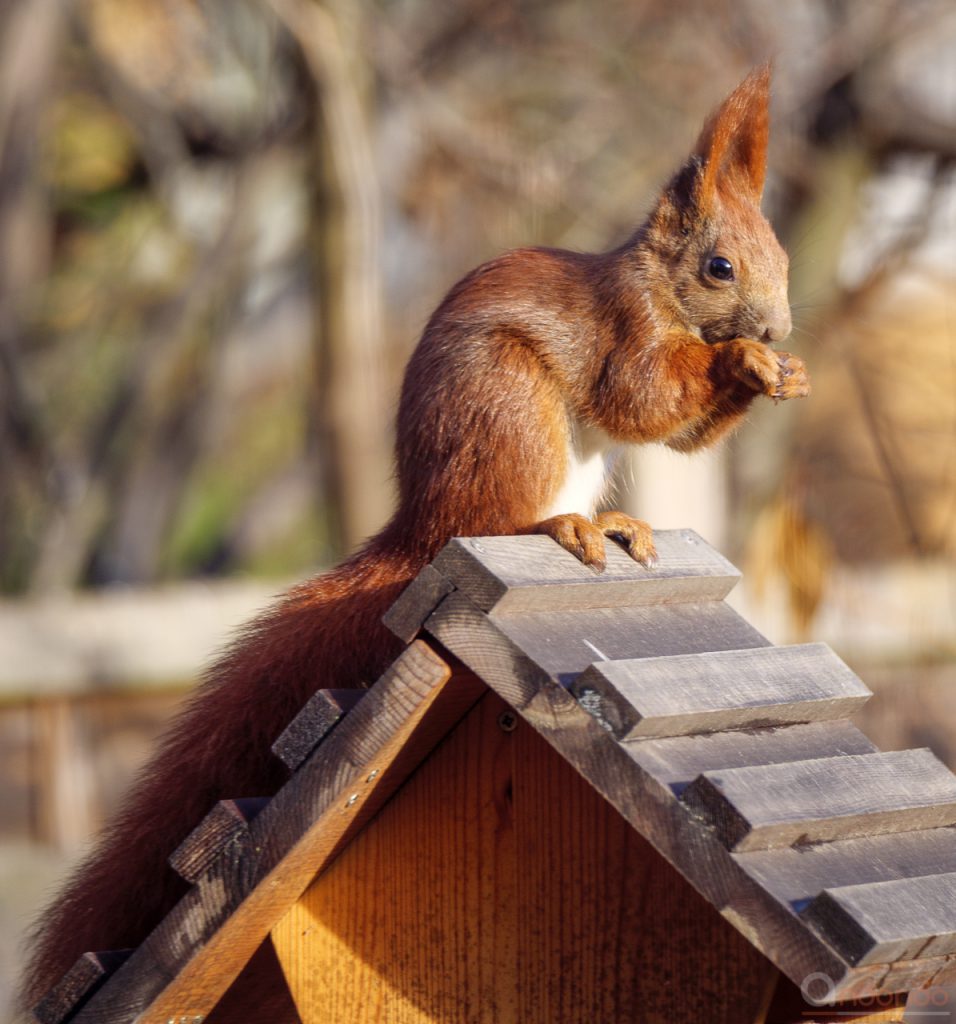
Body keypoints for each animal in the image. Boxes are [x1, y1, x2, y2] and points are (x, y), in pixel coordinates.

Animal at [22, 61, 806, 1007]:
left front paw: (783, 373)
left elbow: (681, 435)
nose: (778, 330)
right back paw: (562, 524)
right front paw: (744, 363)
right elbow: (642, 398)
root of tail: (422, 526)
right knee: (497, 517)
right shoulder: (623, 332)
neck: (661, 292)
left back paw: (612, 520)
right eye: (721, 267)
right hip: (507, 414)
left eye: (784, 261)